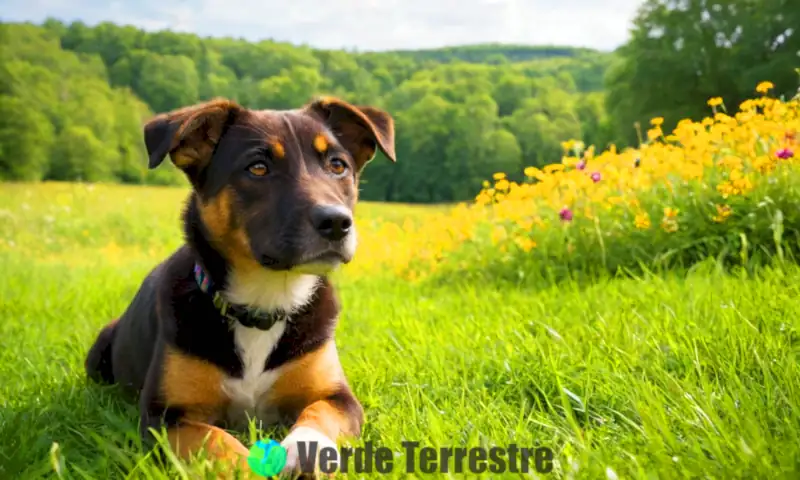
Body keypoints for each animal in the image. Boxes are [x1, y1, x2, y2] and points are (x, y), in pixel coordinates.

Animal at [84, 96, 396, 476]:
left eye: (338, 165)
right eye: (258, 168)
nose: (337, 222)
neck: (265, 302)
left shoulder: (338, 397)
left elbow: (319, 414)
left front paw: (303, 450)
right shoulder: (165, 418)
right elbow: (216, 441)